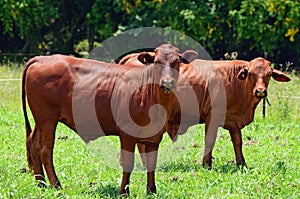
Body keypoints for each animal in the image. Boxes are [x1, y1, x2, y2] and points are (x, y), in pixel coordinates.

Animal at [21, 44, 199, 196]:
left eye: (177, 62)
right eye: (156, 62)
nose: (167, 82)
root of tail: (42, 59)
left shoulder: (154, 138)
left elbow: (151, 163)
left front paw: (151, 190)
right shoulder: (127, 134)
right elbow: (128, 162)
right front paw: (124, 192)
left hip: (41, 120)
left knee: (33, 143)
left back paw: (41, 183)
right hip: (47, 118)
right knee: (45, 149)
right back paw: (56, 184)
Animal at [119, 54, 290, 169]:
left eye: (269, 75)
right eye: (251, 74)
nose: (260, 91)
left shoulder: (233, 121)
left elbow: (238, 142)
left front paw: (242, 164)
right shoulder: (212, 117)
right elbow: (210, 140)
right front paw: (206, 164)